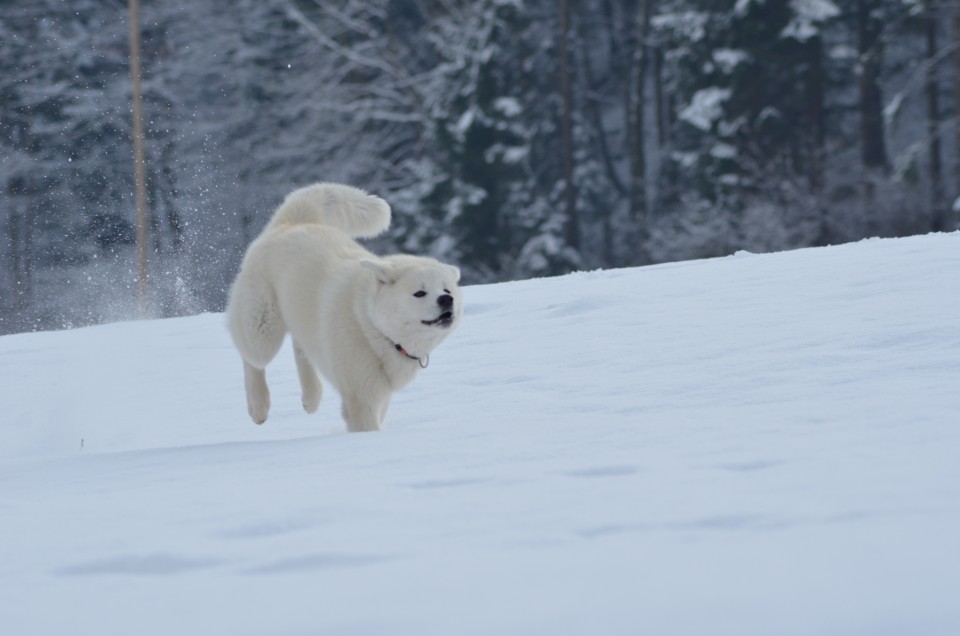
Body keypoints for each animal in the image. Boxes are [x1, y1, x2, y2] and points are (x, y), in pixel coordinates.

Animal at [227, 184, 464, 432]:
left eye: (447, 290)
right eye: (419, 293)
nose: (446, 300)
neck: (372, 326)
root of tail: (291, 223)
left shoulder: (380, 393)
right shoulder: (361, 395)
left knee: (301, 348)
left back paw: (311, 397)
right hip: (262, 328)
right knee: (252, 358)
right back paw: (259, 406)